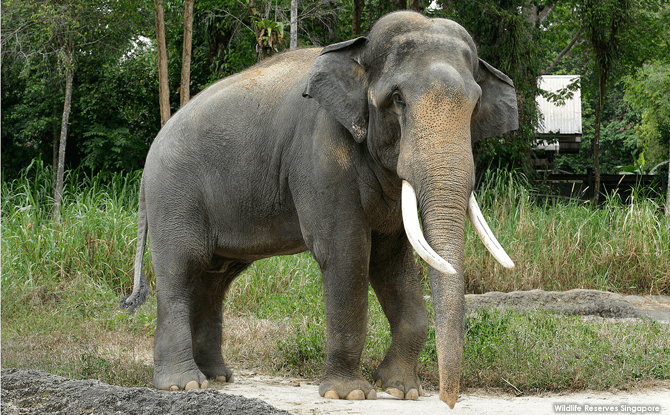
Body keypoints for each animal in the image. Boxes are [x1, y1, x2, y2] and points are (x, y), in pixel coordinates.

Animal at [121, 9, 520, 410]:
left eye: (474, 104)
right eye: (397, 99)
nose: (448, 402)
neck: (358, 52)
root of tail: (153, 148)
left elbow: (392, 261)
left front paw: (401, 390)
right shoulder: (320, 153)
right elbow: (346, 253)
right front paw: (350, 393)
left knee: (216, 277)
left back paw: (217, 377)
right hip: (173, 193)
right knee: (183, 267)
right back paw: (184, 385)